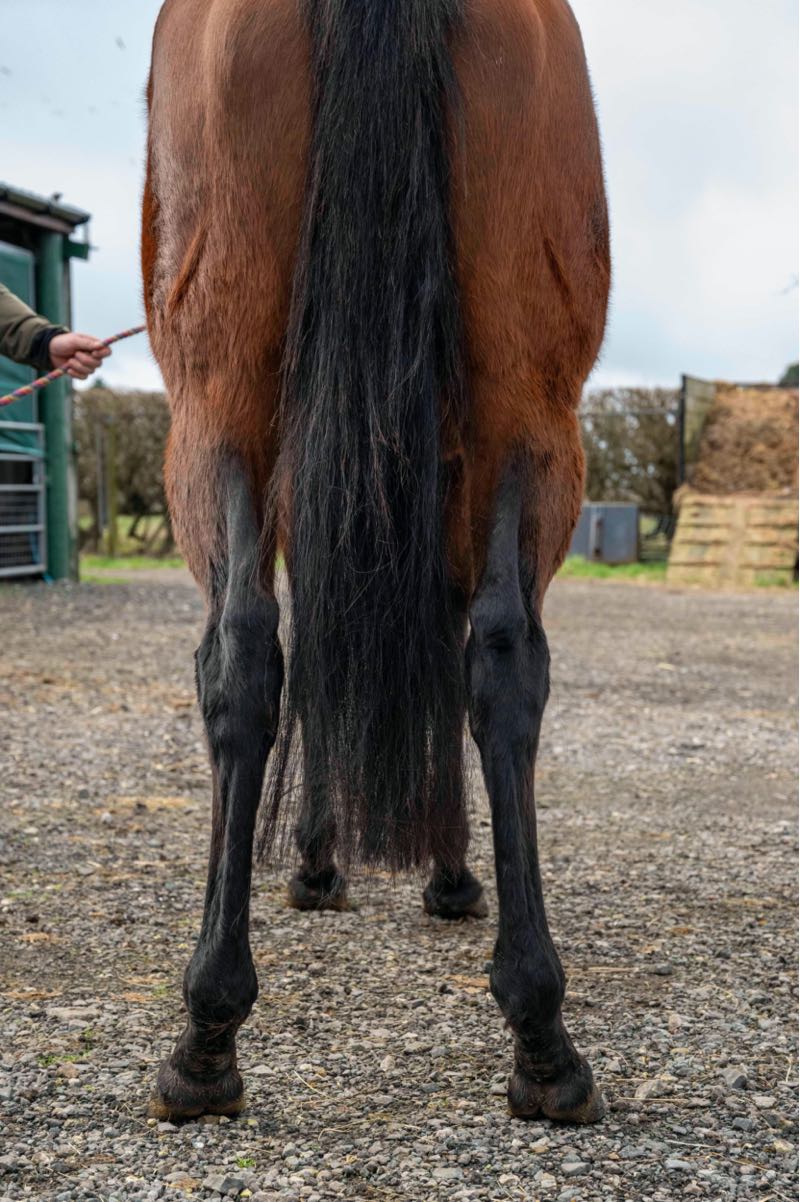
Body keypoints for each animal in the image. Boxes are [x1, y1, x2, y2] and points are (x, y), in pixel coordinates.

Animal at [142, 0, 610, 1125]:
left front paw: (328, 858)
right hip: (528, 419)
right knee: (499, 662)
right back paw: (539, 1031)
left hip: (214, 412)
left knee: (245, 654)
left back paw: (207, 1034)